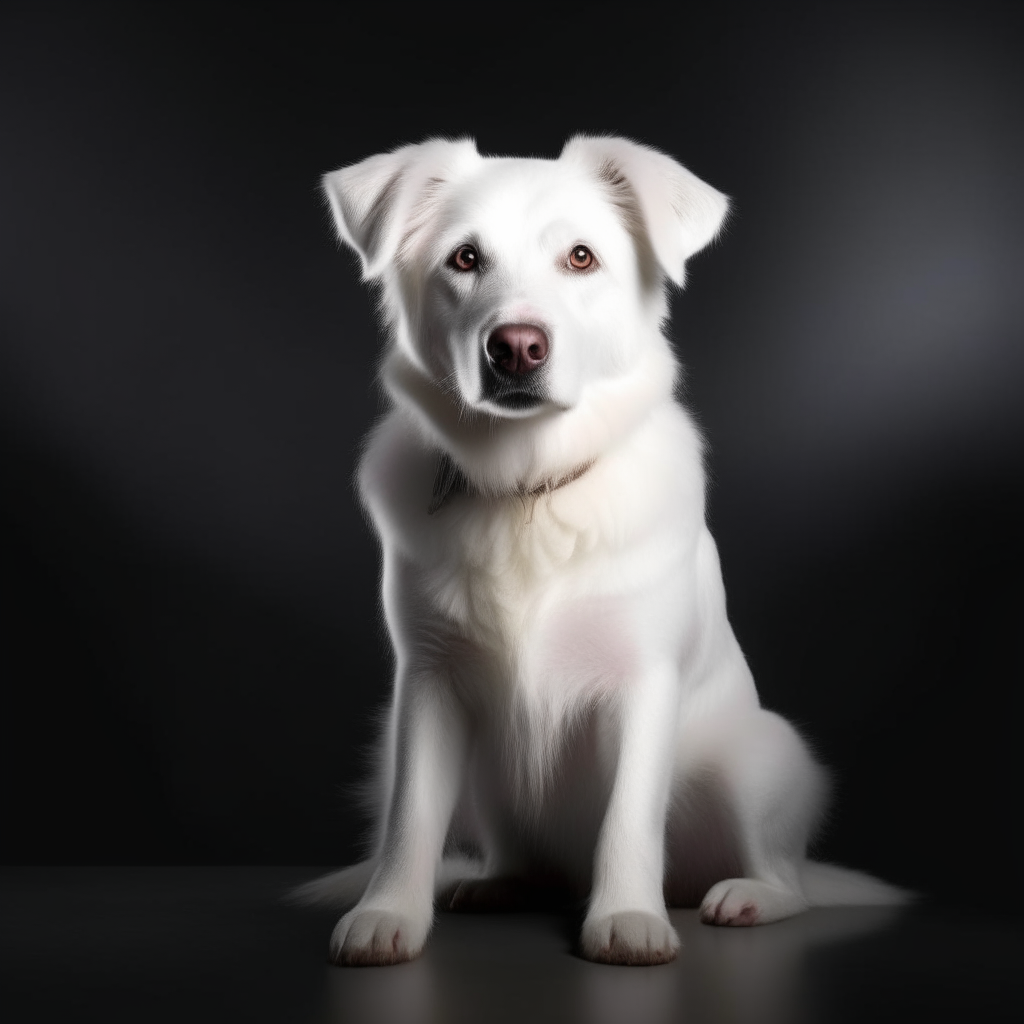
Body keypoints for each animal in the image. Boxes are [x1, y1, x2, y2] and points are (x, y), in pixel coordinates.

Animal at [299, 132, 905, 962]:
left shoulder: (642, 681)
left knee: (787, 881)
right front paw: (388, 913)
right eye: (464, 259)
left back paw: (745, 896)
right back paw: (500, 882)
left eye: (581, 258)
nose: (516, 348)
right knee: (518, 855)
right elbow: (410, 815)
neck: (530, 489)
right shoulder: (428, 681)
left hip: (757, 757)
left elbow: (628, 817)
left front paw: (627, 919)